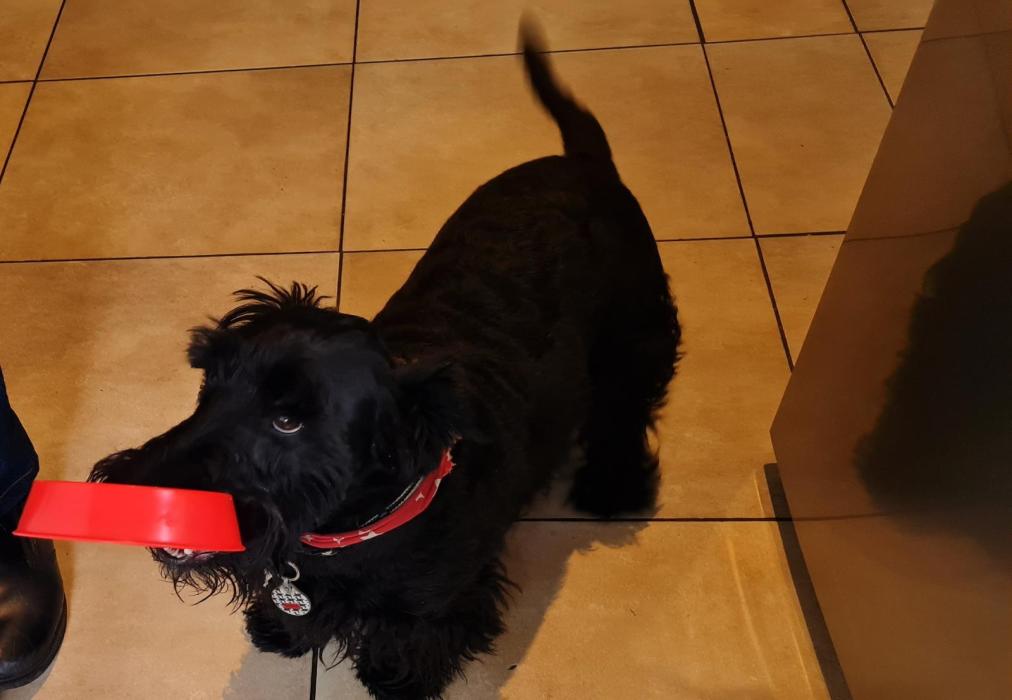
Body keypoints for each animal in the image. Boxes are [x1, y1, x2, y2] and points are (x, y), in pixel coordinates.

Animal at [90, 24, 680, 699]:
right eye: (209, 383)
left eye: (288, 420)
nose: (133, 496)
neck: (351, 526)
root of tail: (586, 163)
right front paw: (284, 629)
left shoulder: (440, 601)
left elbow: (414, 635)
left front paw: (396, 678)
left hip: (634, 335)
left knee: (624, 412)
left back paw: (612, 486)